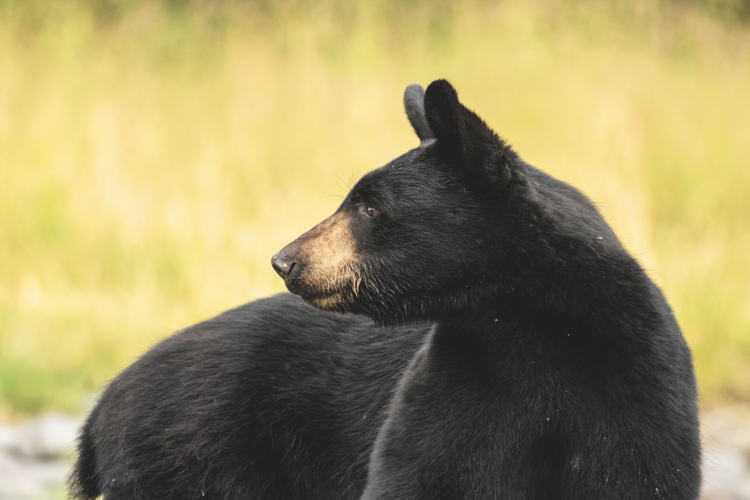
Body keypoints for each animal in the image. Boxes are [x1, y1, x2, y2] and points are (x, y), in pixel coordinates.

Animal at [70, 80, 701, 500]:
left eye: (370, 207)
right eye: (355, 199)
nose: (285, 260)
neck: (531, 326)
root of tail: (102, 407)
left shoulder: (632, 386)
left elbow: (640, 474)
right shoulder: (460, 380)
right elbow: (423, 472)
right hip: (195, 458)